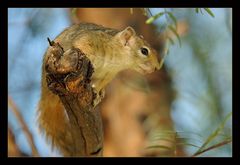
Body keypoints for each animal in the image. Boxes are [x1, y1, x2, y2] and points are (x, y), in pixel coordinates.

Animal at [37, 22, 161, 156]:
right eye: (144, 51)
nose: (156, 68)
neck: (117, 60)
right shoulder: (90, 39)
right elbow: (81, 46)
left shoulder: (108, 75)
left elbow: (100, 84)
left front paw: (97, 93)